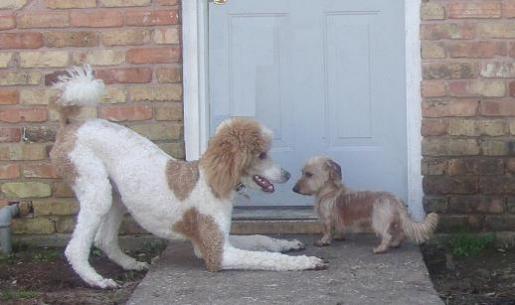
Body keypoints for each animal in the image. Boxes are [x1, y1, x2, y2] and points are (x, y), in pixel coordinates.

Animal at [294, 156, 440, 253]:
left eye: (309, 174)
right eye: (302, 172)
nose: (294, 189)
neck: (328, 191)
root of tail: (396, 200)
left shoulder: (327, 219)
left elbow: (327, 231)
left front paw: (323, 241)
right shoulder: (339, 220)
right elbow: (340, 229)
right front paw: (339, 237)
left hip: (379, 222)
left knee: (387, 236)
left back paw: (380, 249)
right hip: (396, 222)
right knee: (400, 233)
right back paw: (395, 244)